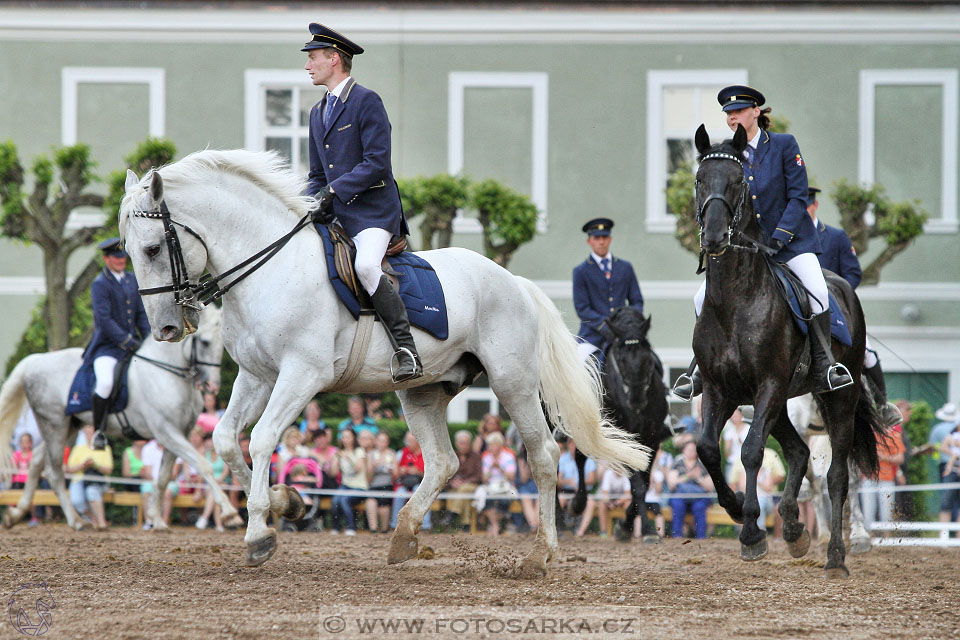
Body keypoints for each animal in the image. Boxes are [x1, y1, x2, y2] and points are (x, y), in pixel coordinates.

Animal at [0, 304, 232, 528]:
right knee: (54, 471)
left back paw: (15, 514)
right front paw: (230, 513)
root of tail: (36, 360)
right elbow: (203, 465)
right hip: (54, 425)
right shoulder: (167, 432)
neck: (168, 374)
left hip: (69, 425)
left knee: (37, 462)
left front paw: (156, 519)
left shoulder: (179, 433)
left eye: (222, 344)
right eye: (204, 342)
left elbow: (164, 476)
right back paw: (75, 521)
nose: (212, 387)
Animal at [116, 151, 648, 576]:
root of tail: (512, 280)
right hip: (422, 392)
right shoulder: (256, 375)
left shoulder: (301, 375)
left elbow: (263, 437)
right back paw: (405, 536)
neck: (270, 268)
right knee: (444, 461)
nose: (166, 329)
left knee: (543, 457)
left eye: (152, 248)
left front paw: (259, 535)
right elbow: (227, 440)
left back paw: (541, 555)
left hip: (512, 383)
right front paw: (287, 504)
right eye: (129, 251)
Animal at [568, 308, 672, 544]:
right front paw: (647, 530)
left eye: (647, 358)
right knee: (573, 458)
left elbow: (644, 484)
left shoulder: (651, 440)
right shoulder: (626, 438)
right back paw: (576, 506)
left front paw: (625, 527)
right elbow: (638, 486)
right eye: (621, 360)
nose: (636, 400)